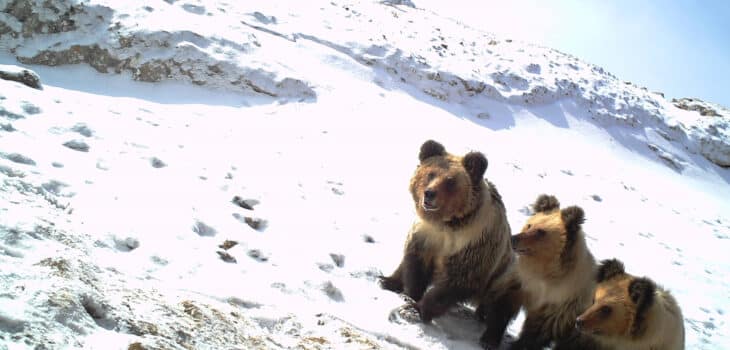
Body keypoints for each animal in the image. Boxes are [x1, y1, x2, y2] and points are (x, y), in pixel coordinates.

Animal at [376, 140, 524, 350]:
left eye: (450, 181)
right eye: (430, 174)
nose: (429, 194)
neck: (448, 224)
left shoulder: (474, 245)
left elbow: (455, 281)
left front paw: (417, 308)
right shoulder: (426, 236)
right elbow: (414, 264)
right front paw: (410, 295)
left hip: (505, 277)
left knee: (500, 307)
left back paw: (489, 337)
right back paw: (387, 281)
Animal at [510, 196, 600, 348]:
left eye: (541, 231)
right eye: (529, 225)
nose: (513, 238)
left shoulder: (560, 308)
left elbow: (537, 331)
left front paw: (520, 344)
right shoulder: (529, 288)